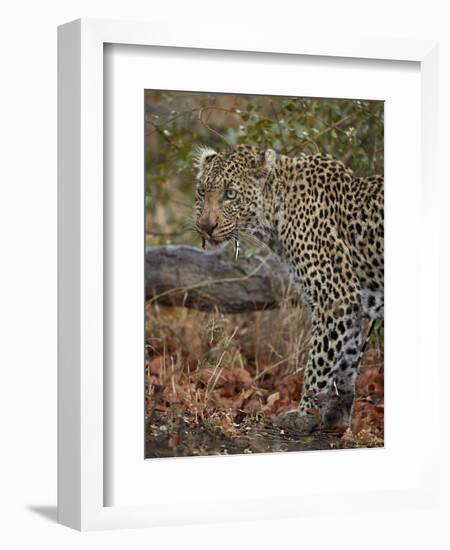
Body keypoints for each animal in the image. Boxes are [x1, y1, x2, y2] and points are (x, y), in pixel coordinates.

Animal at [193, 143, 384, 436]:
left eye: (230, 194)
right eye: (202, 191)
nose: (205, 227)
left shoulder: (335, 297)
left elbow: (319, 360)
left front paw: (304, 415)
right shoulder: (352, 303)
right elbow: (346, 362)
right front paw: (336, 417)